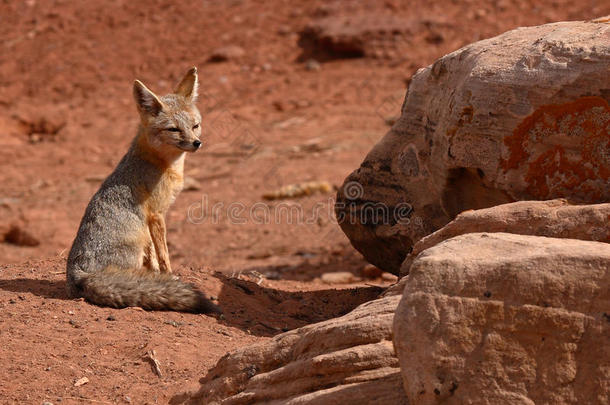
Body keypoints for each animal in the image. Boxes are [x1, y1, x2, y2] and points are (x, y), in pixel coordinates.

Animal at [66, 65, 218, 312]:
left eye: (195, 126)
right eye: (174, 129)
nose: (197, 143)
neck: (163, 164)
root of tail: (78, 273)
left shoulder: (149, 220)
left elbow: (154, 256)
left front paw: (157, 275)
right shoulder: (156, 213)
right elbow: (163, 254)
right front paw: (169, 276)